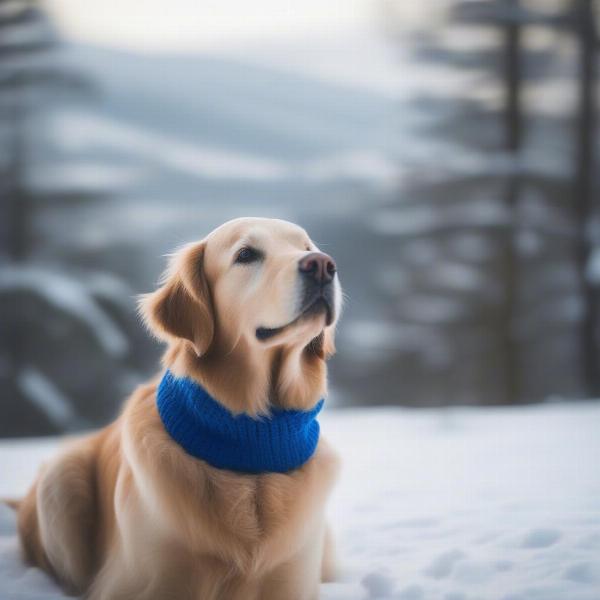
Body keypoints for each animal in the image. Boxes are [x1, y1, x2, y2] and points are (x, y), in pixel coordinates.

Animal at [14, 218, 342, 596]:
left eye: (307, 248)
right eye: (246, 254)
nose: (322, 264)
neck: (250, 444)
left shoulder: (293, 582)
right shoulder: (141, 583)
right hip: (59, 478)